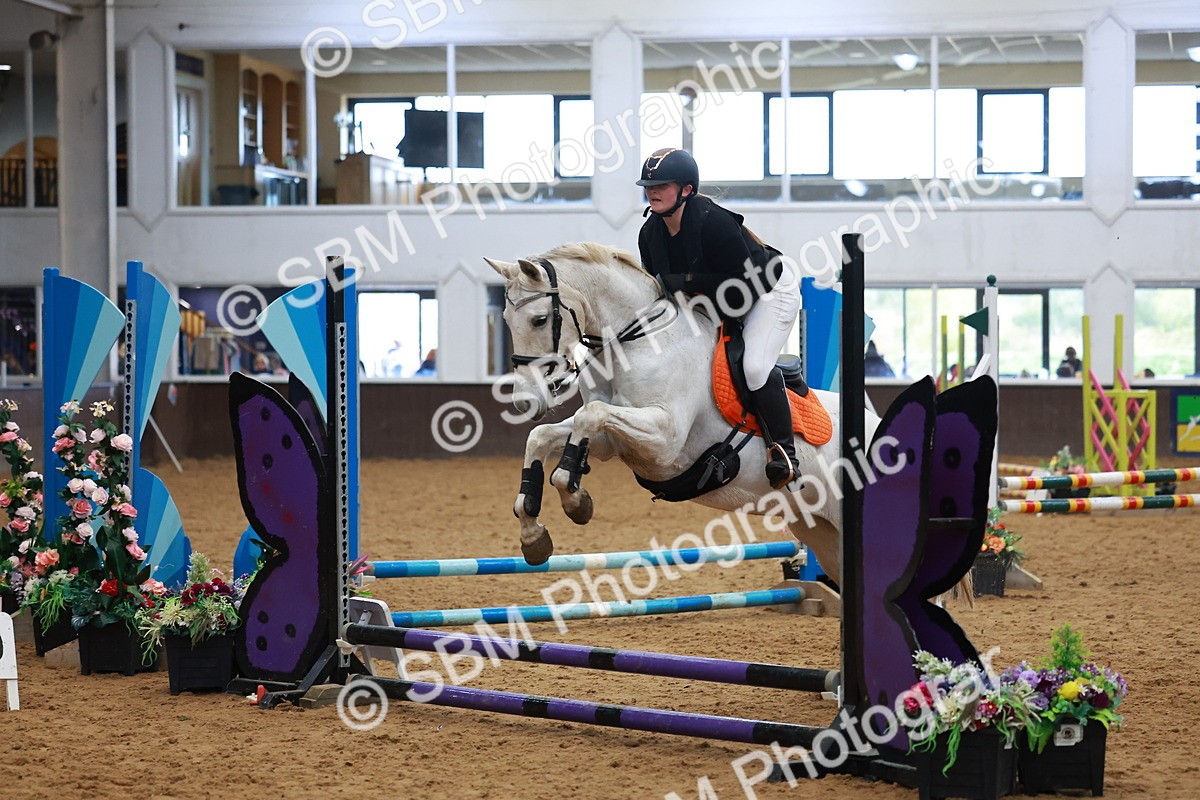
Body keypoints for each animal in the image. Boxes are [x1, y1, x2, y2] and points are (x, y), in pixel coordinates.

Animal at [485, 242, 882, 582]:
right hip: (821, 533)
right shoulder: (610, 443)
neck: (638, 340)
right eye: (504, 318)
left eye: (538, 320)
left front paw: (575, 499)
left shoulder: (664, 439)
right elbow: (542, 436)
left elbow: (590, 414)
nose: (526, 401)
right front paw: (533, 532)